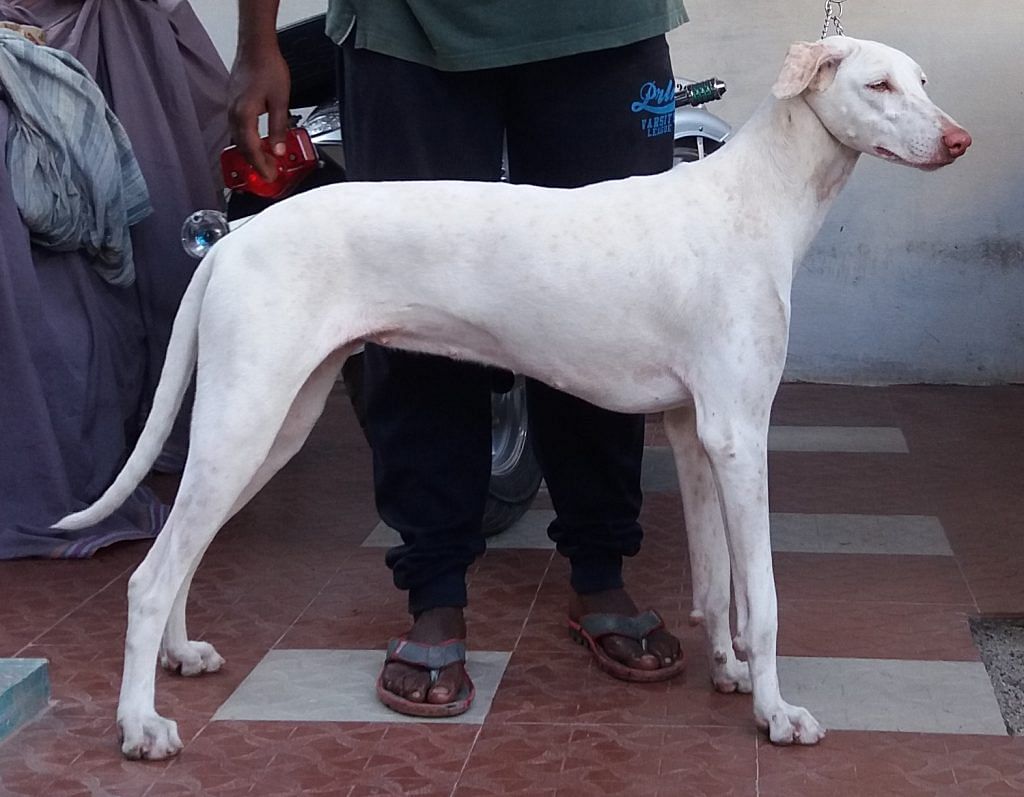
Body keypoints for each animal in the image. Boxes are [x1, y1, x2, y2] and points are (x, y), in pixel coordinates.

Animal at [56, 38, 966, 758]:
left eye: (924, 80)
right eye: (879, 86)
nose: (959, 140)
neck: (754, 197)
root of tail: (233, 240)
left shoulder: (696, 431)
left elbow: (716, 586)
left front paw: (731, 672)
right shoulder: (741, 434)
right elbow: (765, 597)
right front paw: (778, 713)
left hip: (271, 426)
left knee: (186, 553)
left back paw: (180, 656)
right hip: (245, 419)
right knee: (150, 576)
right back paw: (139, 725)